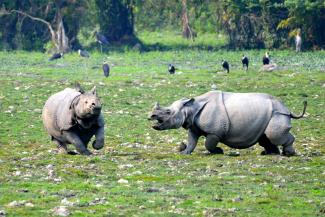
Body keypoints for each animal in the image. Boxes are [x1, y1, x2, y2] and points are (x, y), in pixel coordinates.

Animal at [148, 90, 306, 156]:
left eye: (168, 112)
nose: (151, 116)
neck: (190, 108)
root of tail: (287, 108)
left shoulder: (215, 131)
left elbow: (209, 143)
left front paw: (218, 152)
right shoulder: (193, 126)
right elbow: (192, 141)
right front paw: (185, 152)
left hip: (278, 113)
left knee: (273, 134)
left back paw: (288, 154)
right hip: (270, 114)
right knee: (265, 137)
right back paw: (269, 153)